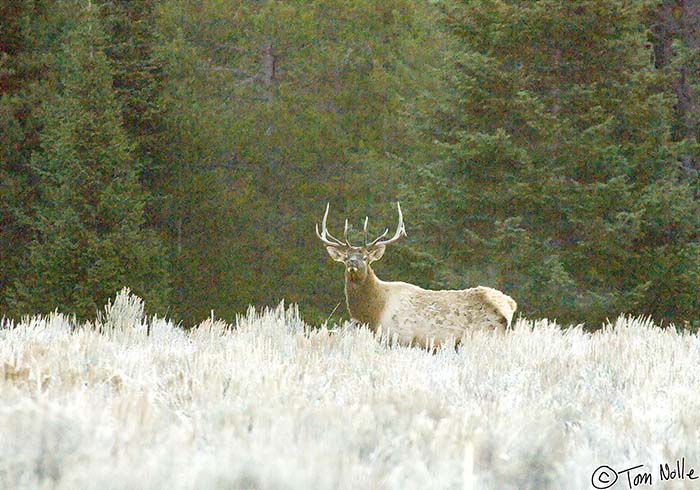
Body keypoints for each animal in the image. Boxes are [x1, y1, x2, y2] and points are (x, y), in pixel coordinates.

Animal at [314, 203, 516, 348]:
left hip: (486, 335)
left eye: (365, 257)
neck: (374, 313)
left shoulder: (401, 337)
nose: (352, 264)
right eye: (346, 257)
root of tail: (510, 304)